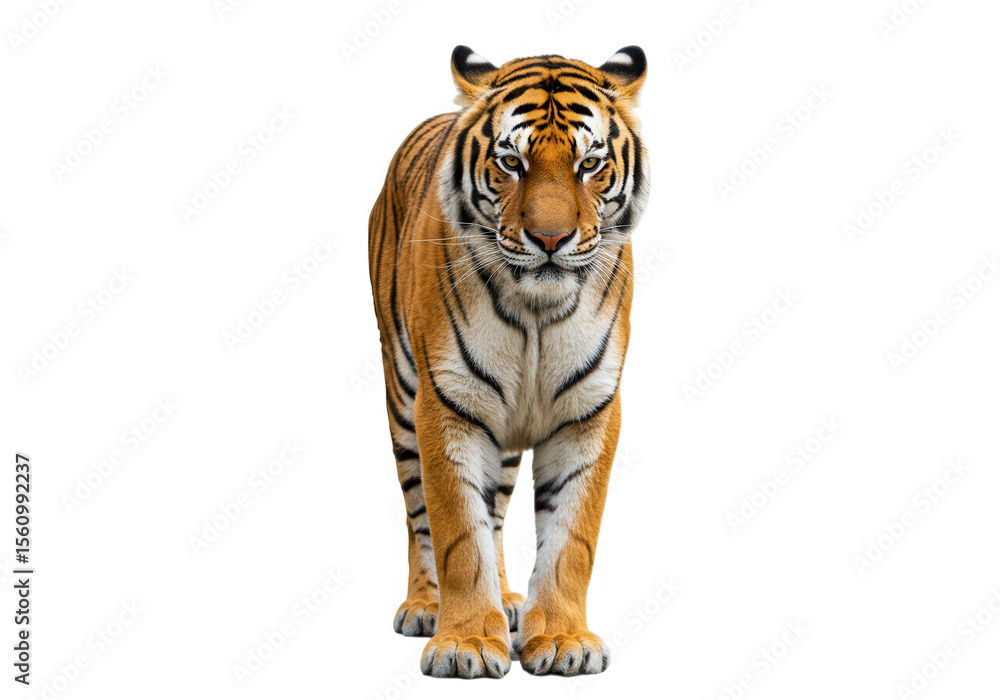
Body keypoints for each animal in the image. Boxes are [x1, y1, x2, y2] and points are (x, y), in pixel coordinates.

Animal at [367, 45, 649, 678]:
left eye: (589, 164)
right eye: (511, 162)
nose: (550, 239)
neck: (537, 309)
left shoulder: (588, 410)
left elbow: (571, 537)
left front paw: (563, 640)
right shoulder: (448, 403)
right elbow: (456, 532)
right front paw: (466, 643)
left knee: (494, 509)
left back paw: (510, 602)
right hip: (402, 395)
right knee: (419, 512)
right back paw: (427, 606)